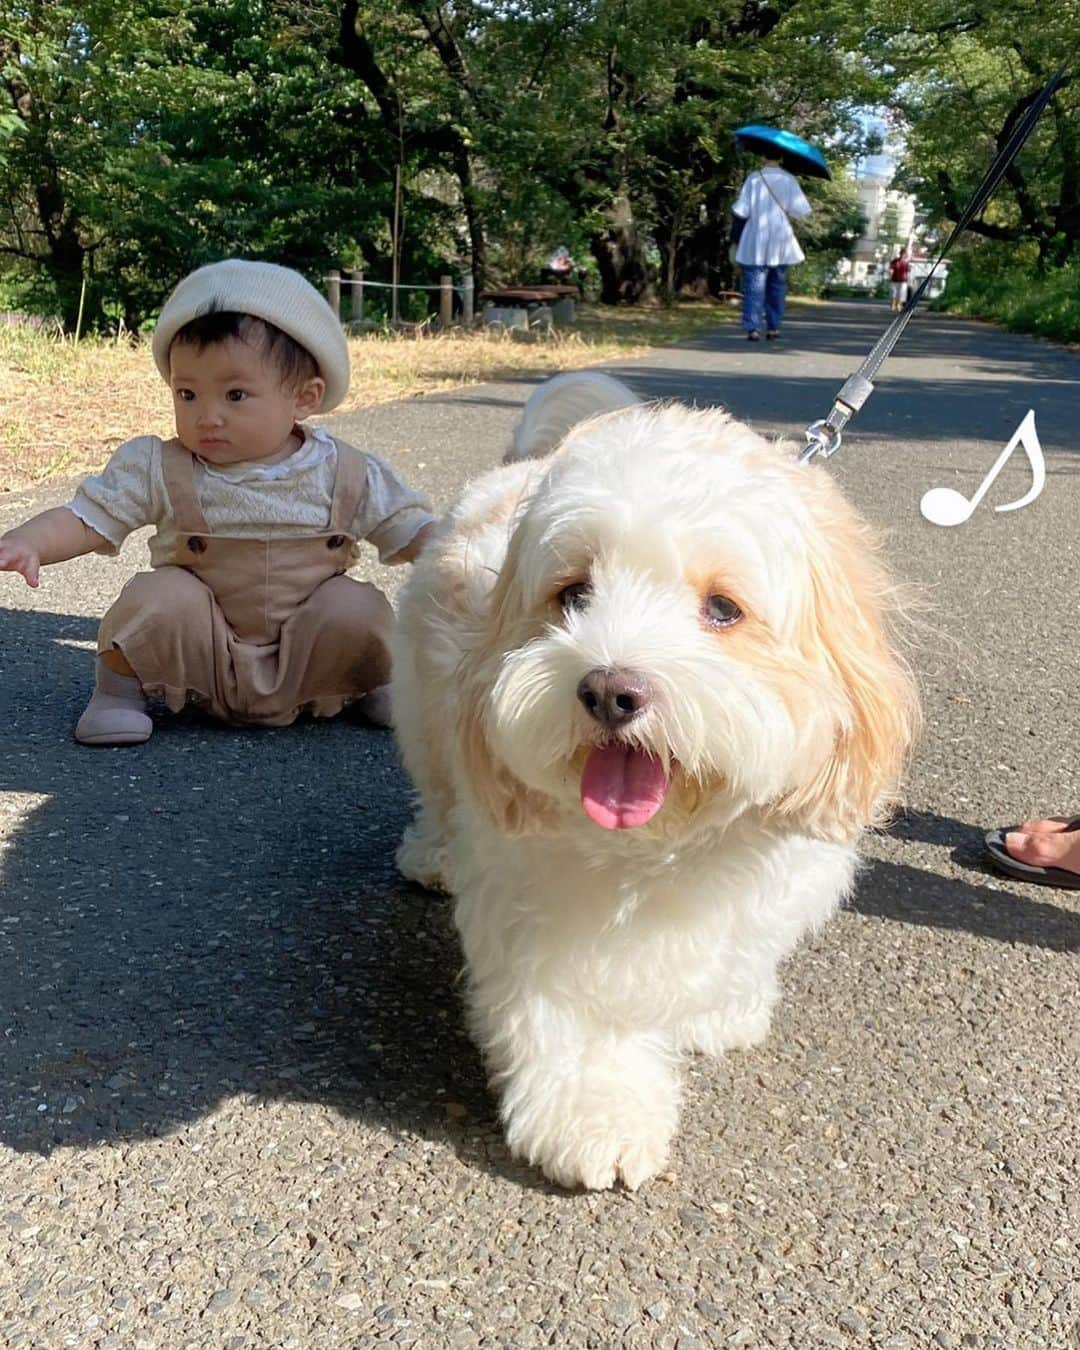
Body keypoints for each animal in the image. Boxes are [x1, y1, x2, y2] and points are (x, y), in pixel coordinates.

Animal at [391, 375, 918, 1188]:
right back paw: (429, 854)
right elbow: (578, 1013)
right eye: (574, 594)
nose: (610, 690)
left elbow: (737, 952)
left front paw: (719, 1011)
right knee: (436, 784)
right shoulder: (542, 906)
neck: (670, 843)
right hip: (423, 709)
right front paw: (594, 1115)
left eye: (723, 608)